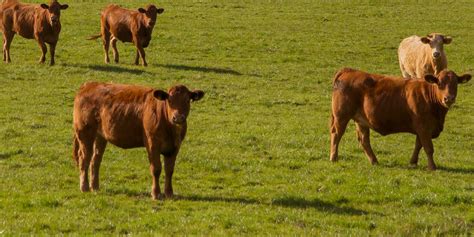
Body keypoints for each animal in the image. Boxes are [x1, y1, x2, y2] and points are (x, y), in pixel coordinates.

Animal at [71, 82, 204, 199]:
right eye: (169, 101)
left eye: (187, 100)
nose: (178, 118)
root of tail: (88, 85)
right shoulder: (152, 144)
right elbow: (156, 169)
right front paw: (156, 194)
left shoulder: (175, 147)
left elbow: (169, 170)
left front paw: (169, 193)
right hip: (85, 133)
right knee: (84, 158)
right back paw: (84, 187)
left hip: (101, 136)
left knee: (95, 160)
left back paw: (95, 187)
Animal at [330, 67, 470, 169]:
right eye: (439, 83)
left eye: (455, 84)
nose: (449, 98)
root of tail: (349, 70)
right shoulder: (423, 127)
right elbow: (428, 148)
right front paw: (432, 167)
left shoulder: (422, 128)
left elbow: (418, 145)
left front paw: (413, 162)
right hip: (341, 116)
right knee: (336, 134)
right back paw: (334, 158)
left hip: (361, 120)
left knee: (364, 140)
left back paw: (374, 161)